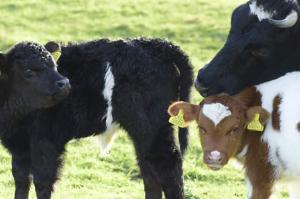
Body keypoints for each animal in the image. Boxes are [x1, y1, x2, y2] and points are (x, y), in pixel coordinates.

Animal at [2, 38, 193, 199]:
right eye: (28, 71)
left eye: (54, 65)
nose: (65, 83)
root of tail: (156, 44)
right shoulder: (19, 146)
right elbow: (21, 180)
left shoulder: (45, 143)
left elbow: (42, 182)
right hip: (143, 134)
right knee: (150, 172)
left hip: (154, 128)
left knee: (169, 167)